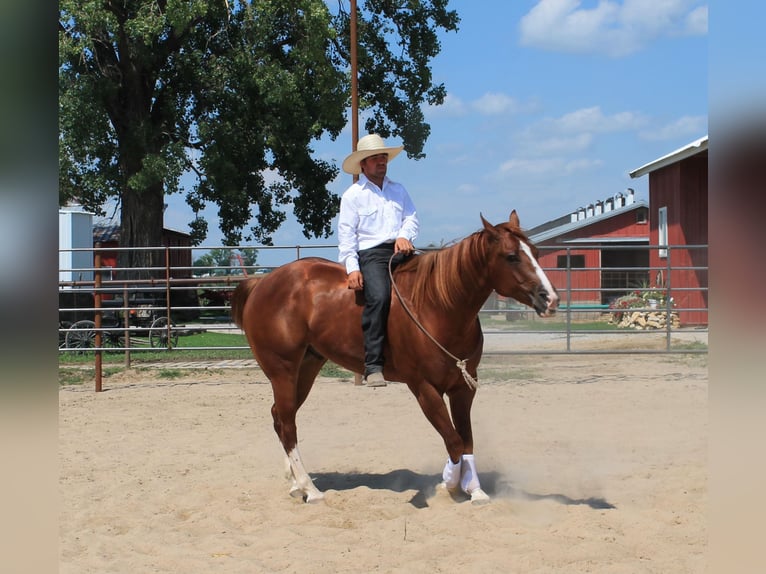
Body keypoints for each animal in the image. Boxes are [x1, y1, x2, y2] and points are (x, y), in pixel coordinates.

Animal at [230, 212, 560, 504]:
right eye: (511, 256)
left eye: (536, 252)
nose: (551, 299)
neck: (438, 305)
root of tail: (262, 283)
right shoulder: (424, 388)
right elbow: (453, 440)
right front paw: (448, 486)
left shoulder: (463, 386)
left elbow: (466, 440)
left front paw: (474, 489)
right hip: (282, 369)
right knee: (287, 423)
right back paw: (311, 490)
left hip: (308, 366)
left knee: (279, 417)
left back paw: (295, 484)